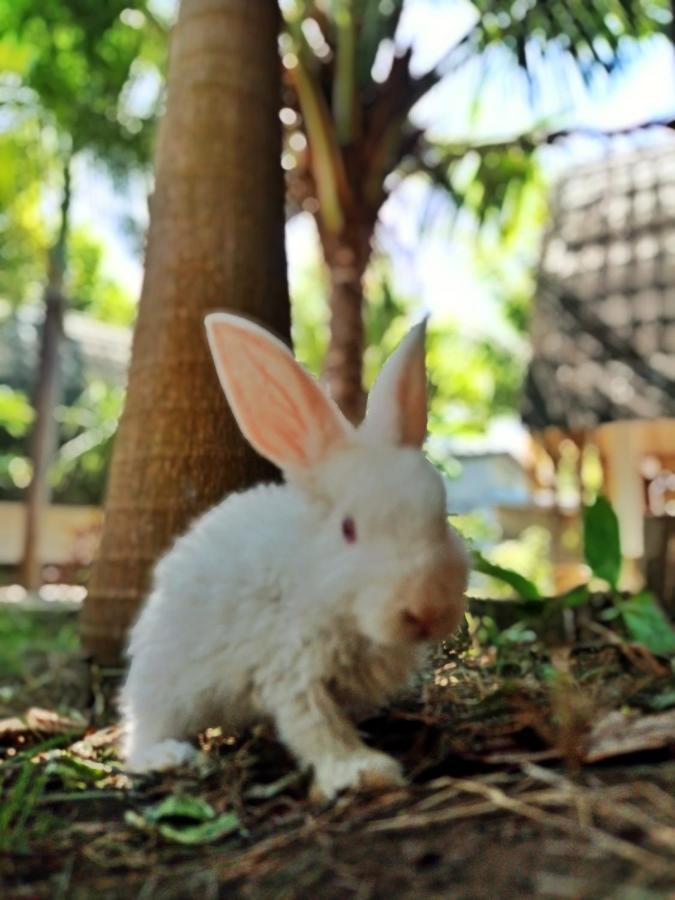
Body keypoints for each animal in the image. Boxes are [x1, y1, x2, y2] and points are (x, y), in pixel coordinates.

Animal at [121, 312, 468, 800]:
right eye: (348, 529)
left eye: (440, 514)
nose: (426, 610)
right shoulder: (292, 670)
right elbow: (317, 728)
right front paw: (363, 772)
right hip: (165, 683)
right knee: (140, 733)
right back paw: (167, 757)